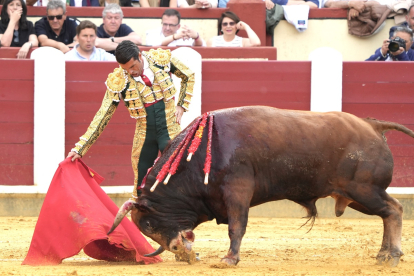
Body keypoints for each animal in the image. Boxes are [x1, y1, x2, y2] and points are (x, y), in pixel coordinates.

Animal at [107, 106, 414, 268]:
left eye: (148, 225)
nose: (180, 253)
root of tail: (372, 125)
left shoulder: (238, 191)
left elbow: (236, 226)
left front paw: (229, 259)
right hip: (356, 196)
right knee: (388, 214)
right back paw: (383, 255)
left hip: (364, 190)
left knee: (394, 210)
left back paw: (392, 255)